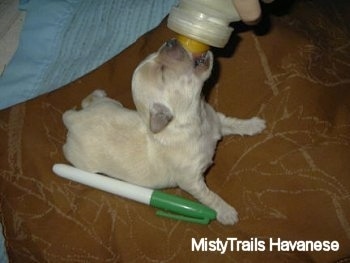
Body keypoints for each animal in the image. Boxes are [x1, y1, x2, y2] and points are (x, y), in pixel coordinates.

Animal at [63, 39, 266, 225]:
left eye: (156, 54)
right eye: (162, 71)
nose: (171, 41)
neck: (196, 120)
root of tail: (72, 120)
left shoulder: (217, 121)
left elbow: (233, 123)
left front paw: (254, 125)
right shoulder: (191, 181)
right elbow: (209, 196)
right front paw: (226, 212)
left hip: (109, 105)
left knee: (90, 100)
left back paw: (98, 93)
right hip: (83, 162)